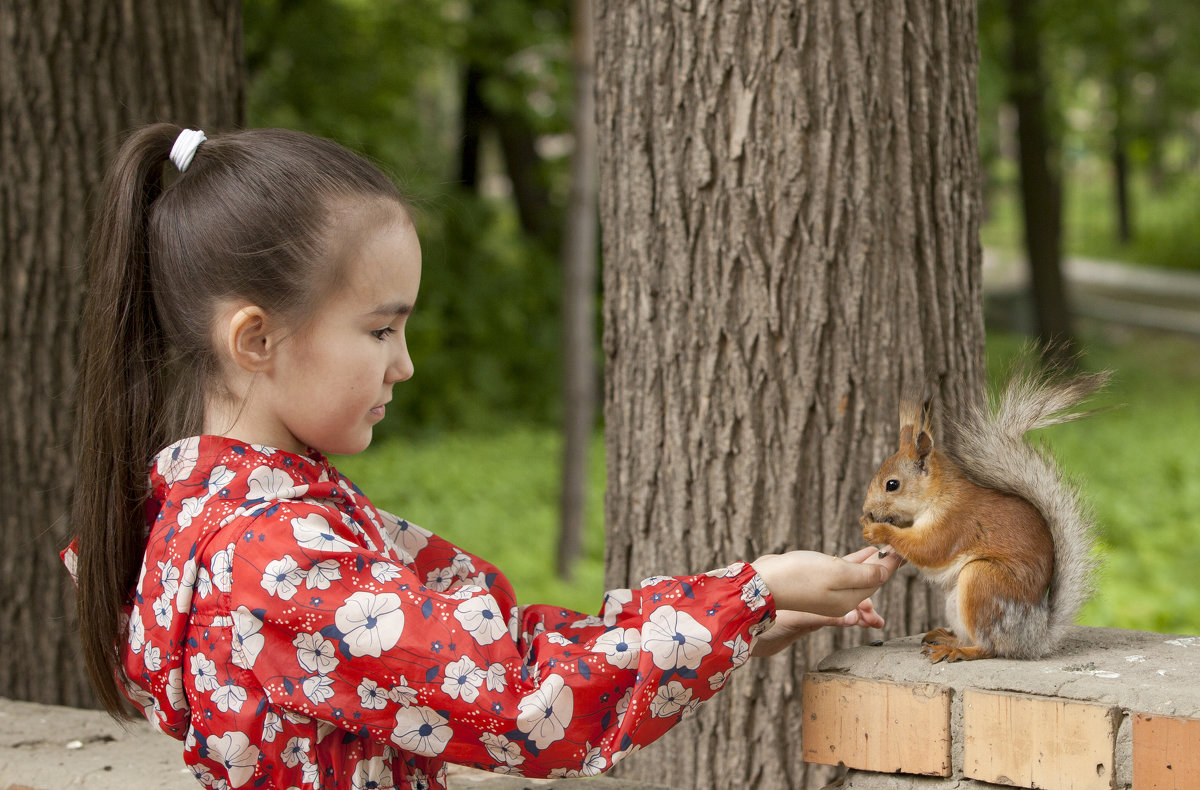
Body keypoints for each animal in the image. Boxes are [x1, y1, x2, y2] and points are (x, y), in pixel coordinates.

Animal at [859, 364, 1108, 657]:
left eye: (892, 484)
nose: (866, 511)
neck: (938, 495)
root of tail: (1033, 638)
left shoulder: (954, 522)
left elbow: (929, 548)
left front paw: (879, 531)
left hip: (982, 581)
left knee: (988, 647)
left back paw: (959, 652)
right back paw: (947, 639)